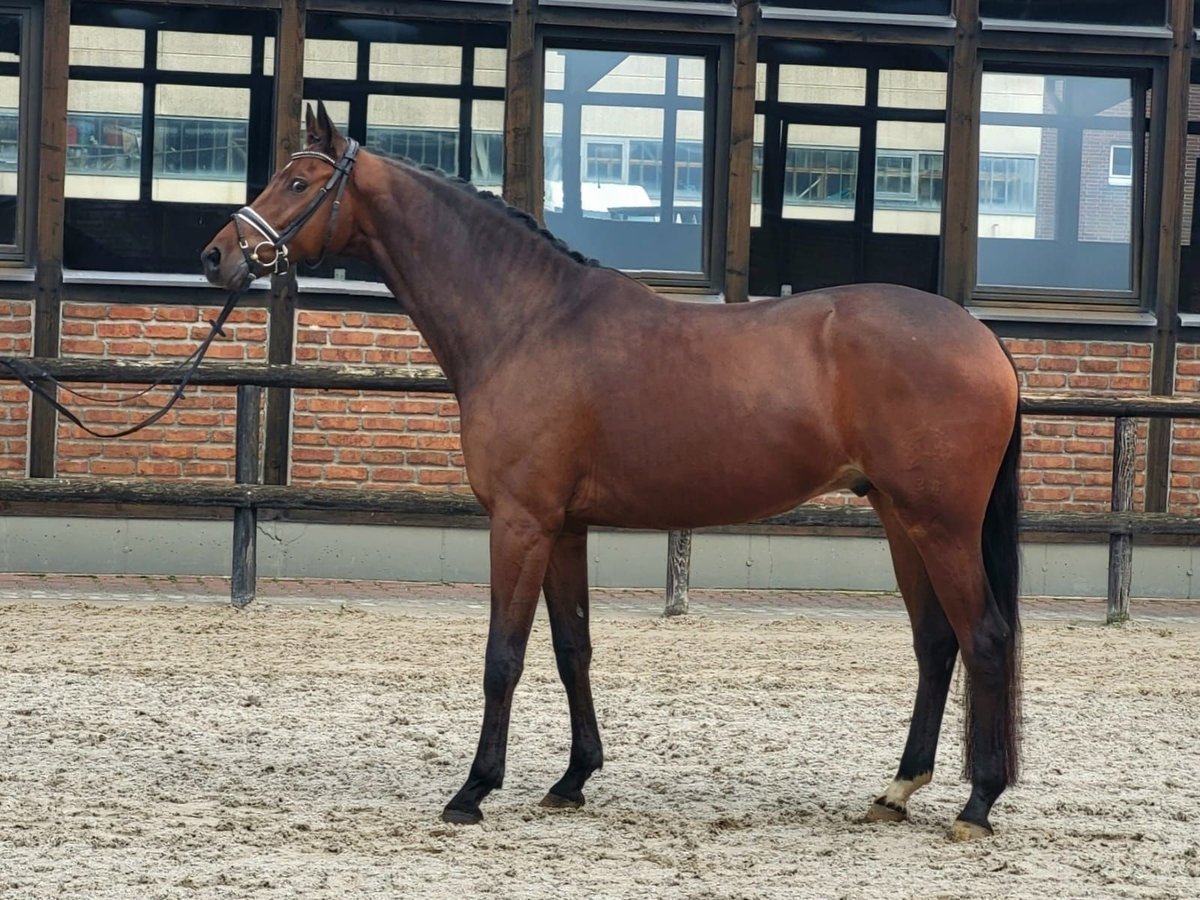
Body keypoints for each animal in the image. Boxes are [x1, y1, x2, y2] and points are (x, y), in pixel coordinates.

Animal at [204, 105, 1022, 844]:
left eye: (299, 181)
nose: (217, 256)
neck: (529, 322)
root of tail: (981, 338)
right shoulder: (565, 528)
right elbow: (573, 649)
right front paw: (572, 779)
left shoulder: (520, 523)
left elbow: (503, 656)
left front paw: (473, 790)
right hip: (898, 516)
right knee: (936, 643)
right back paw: (898, 790)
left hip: (940, 523)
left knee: (982, 636)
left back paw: (977, 804)